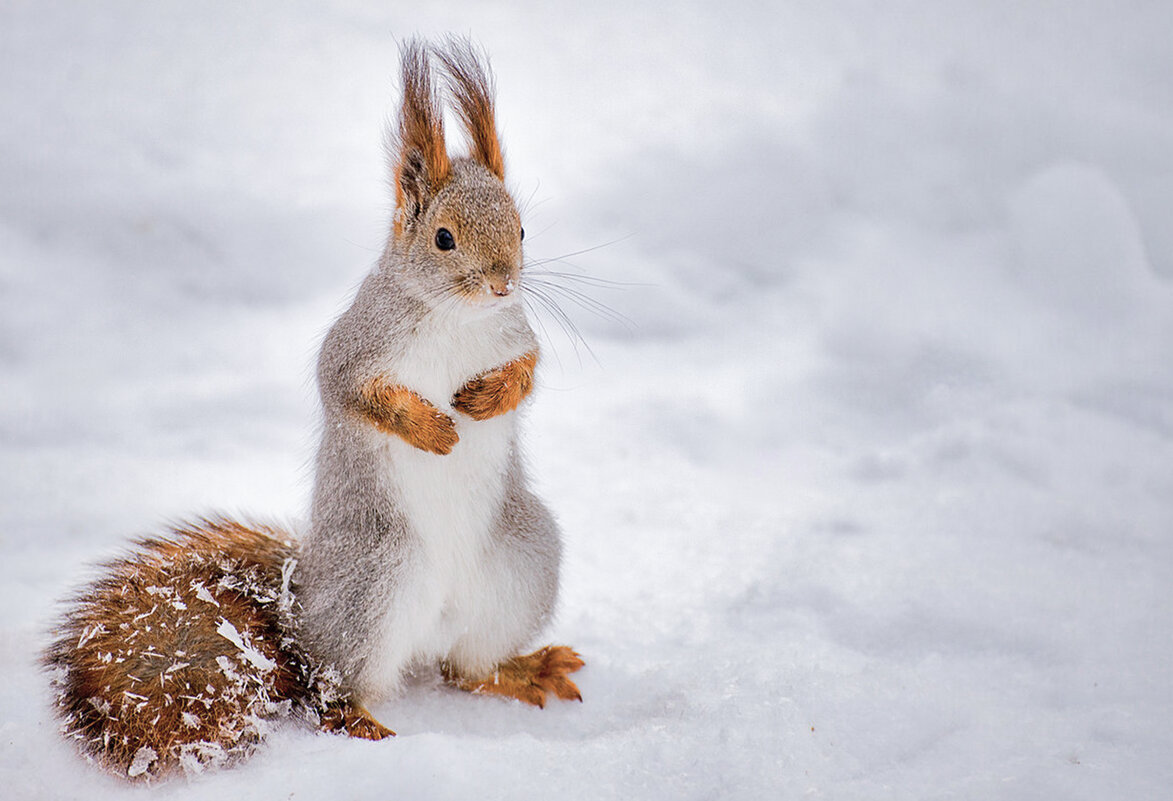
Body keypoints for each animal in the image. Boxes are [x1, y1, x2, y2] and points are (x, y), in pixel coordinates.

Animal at [43, 39, 584, 783]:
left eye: (523, 229)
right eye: (443, 238)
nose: (502, 282)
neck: (456, 317)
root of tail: (301, 605)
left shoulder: (513, 335)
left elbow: (527, 373)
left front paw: (489, 397)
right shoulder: (354, 348)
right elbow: (352, 393)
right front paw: (430, 427)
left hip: (521, 564)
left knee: (464, 670)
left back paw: (520, 670)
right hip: (374, 580)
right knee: (328, 686)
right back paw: (359, 720)